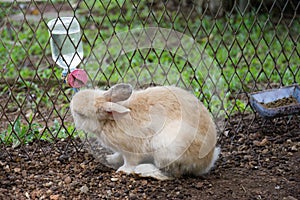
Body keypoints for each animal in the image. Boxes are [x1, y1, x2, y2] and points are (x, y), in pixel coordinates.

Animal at [71, 83, 220, 180]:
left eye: (80, 114)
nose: (71, 104)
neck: (109, 120)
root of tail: (207, 162)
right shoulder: (121, 150)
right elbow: (118, 155)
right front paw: (110, 158)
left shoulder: (131, 150)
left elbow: (130, 162)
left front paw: (123, 170)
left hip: (166, 149)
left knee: (172, 174)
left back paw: (143, 171)